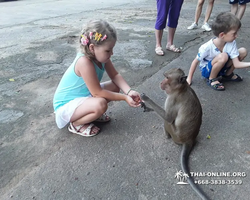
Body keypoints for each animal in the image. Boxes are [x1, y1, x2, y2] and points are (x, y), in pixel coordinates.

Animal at [141, 68, 209, 199]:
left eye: (167, 78)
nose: (161, 82)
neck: (181, 88)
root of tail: (189, 139)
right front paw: (146, 107)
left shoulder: (172, 99)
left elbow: (167, 117)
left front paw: (146, 98)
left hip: (175, 135)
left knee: (167, 122)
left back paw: (166, 135)